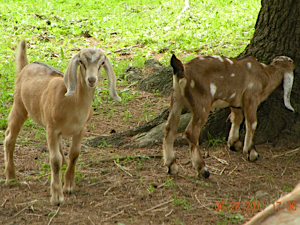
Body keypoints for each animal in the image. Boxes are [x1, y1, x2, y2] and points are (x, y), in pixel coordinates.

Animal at [4, 39, 121, 205]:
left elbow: (74, 154)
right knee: (9, 138)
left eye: (102, 62)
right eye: (82, 62)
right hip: (19, 105)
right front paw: (57, 197)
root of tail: (26, 66)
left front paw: (69, 186)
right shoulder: (52, 130)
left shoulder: (81, 129)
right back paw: (12, 178)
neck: (73, 103)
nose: (91, 80)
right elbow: (55, 161)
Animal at [163, 54, 294, 178]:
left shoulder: (235, 102)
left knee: (170, 128)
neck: (266, 74)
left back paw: (171, 166)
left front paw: (233, 143)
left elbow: (237, 118)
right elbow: (252, 123)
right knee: (191, 132)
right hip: (201, 102)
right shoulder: (251, 98)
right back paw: (203, 170)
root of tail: (182, 70)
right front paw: (251, 153)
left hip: (177, 98)